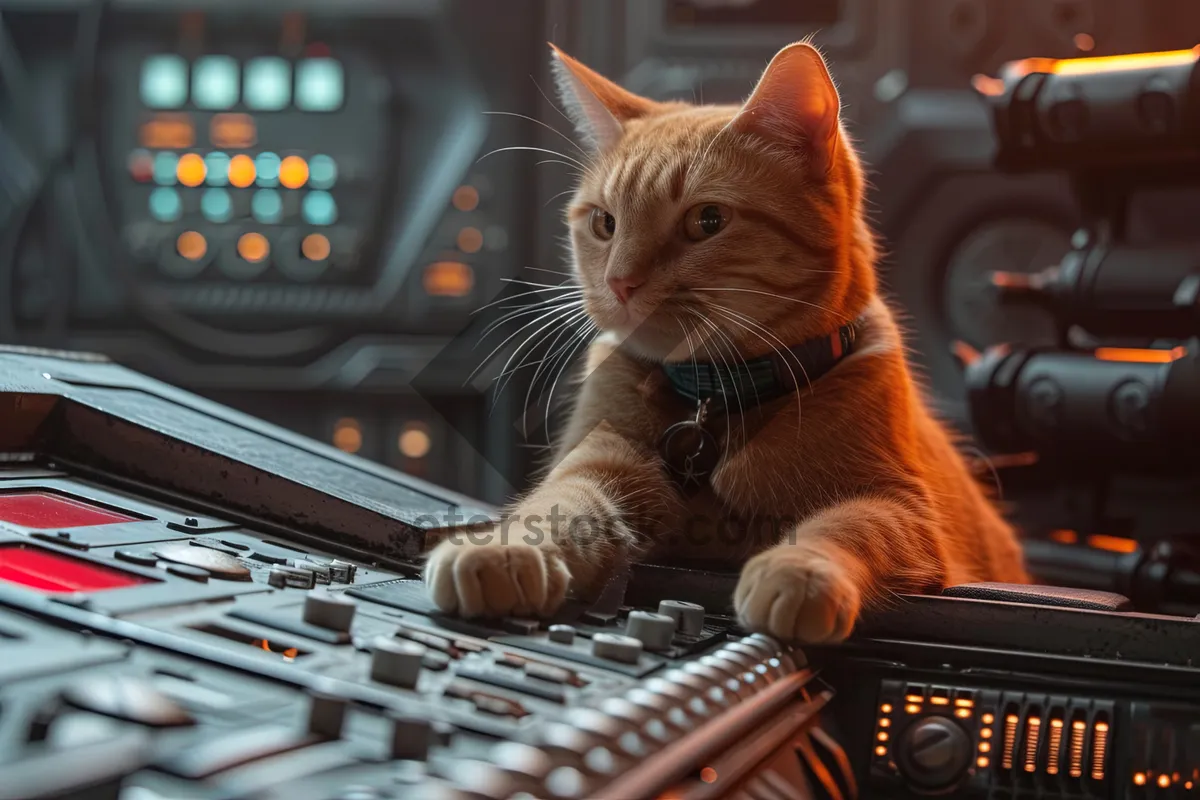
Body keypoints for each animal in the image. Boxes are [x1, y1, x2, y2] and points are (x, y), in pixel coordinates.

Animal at [422, 42, 1022, 642]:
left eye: (707, 220)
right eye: (604, 223)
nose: (620, 281)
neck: (716, 397)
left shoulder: (900, 506)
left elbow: (846, 527)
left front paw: (798, 572)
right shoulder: (598, 462)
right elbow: (559, 506)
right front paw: (503, 551)